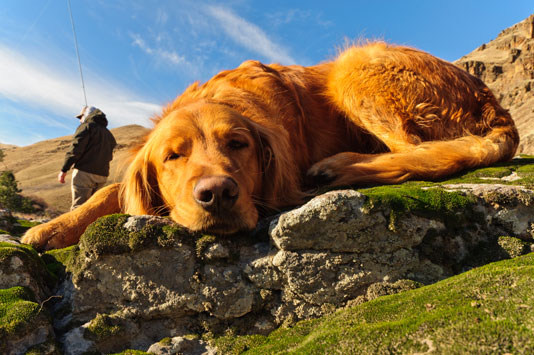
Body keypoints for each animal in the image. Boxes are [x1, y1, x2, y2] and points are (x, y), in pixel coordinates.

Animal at [21, 43, 520, 250]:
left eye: (238, 143)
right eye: (172, 156)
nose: (218, 195)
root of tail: (493, 104)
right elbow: (111, 190)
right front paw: (53, 228)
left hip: (355, 66)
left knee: (414, 149)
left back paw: (338, 167)